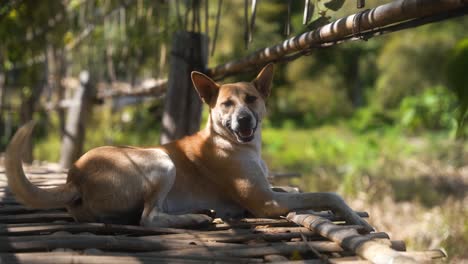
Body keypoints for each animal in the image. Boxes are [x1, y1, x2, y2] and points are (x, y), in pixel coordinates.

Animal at [3, 64, 372, 231]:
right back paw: (196, 218)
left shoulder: (270, 189)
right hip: (161, 160)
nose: (243, 120)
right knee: (148, 219)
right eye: (226, 104)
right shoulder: (265, 201)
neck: (234, 144)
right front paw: (353, 216)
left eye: (251, 99)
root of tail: (73, 177)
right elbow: (326, 194)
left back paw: (203, 213)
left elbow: (303, 193)